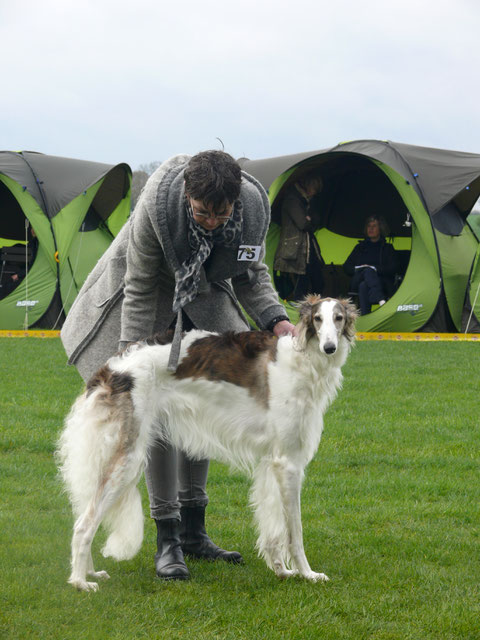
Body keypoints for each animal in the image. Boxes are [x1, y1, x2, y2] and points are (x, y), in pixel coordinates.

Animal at [56, 296, 356, 592]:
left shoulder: (272, 462)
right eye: (318, 319)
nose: (329, 347)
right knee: (83, 524)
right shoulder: (289, 463)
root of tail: (112, 368)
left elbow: (273, 528)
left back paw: (89, 572)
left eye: (339, 318)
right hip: (127, 458)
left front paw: (282, 570)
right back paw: (80, 581)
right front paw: (307, 573)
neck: (302, 357)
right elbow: (295, 531)